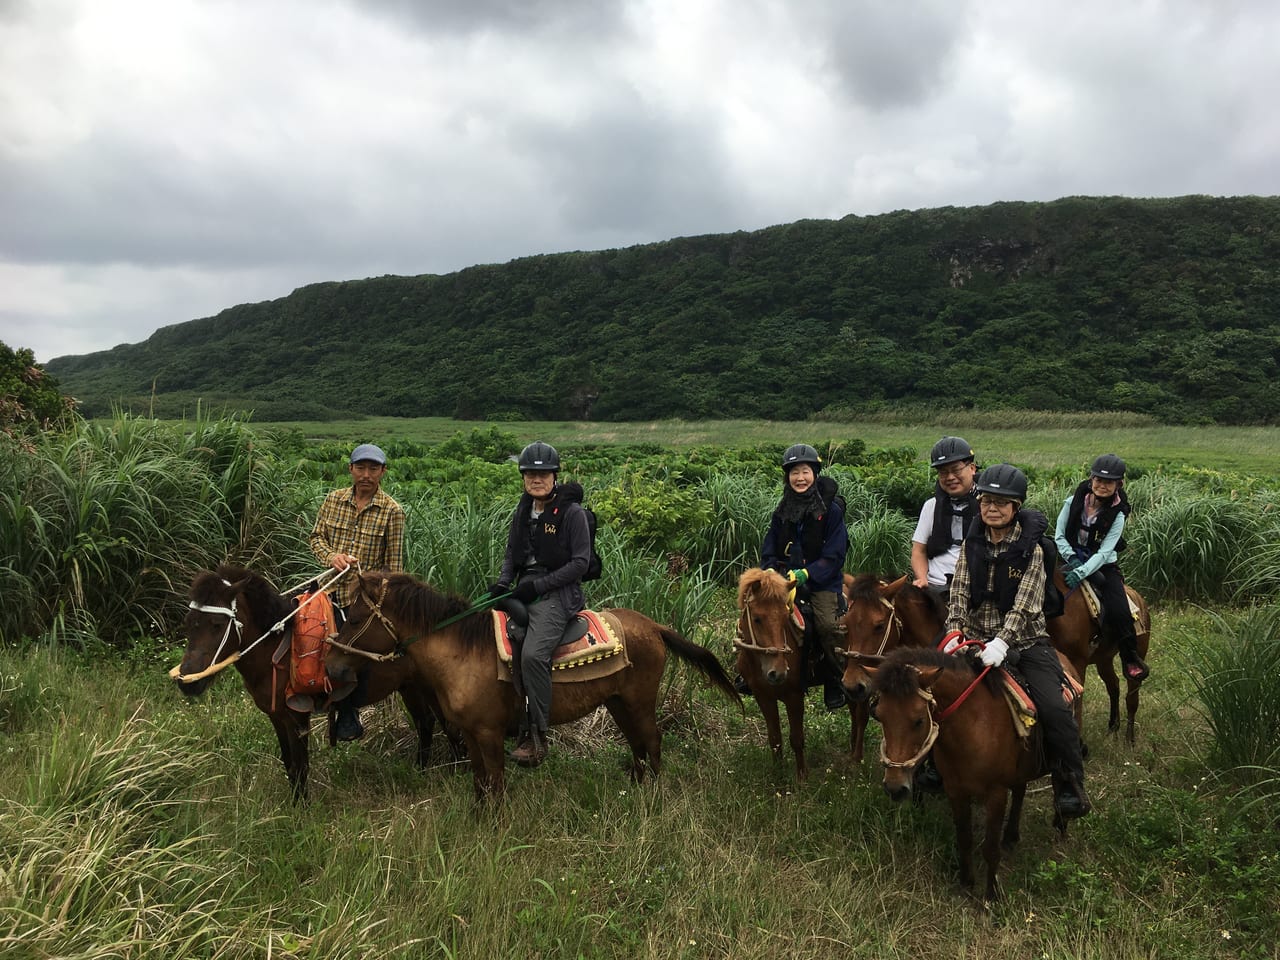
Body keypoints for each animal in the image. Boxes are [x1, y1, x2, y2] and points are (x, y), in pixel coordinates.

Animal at [170, 563, 460, 803]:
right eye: (189, 623)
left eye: (217, 624)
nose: (187, 683)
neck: (277, 650)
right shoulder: (276, 716)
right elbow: (289, 763)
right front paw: (294, 804)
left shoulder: (297, 716)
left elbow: (301, 765)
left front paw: (302, 810)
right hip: (409, 686)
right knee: (425, 722)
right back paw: (421, 770)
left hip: (428, 686)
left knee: (446, 724)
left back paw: (456, 770)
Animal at [335, 570, 747, 803]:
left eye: (353, 617)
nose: (334, 664)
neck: (462, 650)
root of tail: (654, 627)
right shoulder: (469, 733)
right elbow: (480, 783)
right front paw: (479, 820)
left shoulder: (488, 734)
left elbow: (496, 783)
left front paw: (496, 828)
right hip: (617, 702)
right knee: (637, 744)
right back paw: (636, 788)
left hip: (639, 700)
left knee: (653, 741)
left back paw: (654, 798)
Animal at [732, 570, 860, 783]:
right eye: (757, 618)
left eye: (785, 617)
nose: (778, 672)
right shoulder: (763, 696)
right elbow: (775, 739)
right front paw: (778, 776)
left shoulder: (794, 696)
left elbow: (797, 739)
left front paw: (801, 778)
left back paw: (857, 759)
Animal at [860, 647, 1080, 901]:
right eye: (879, 715)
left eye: (919, 720)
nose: (895, 787)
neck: (974, 725)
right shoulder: (955, 790)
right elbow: (964, 838)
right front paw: (966, 883)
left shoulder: (996, 793)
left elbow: (990, 847)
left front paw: (991, 894)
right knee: (1020, 791)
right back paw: (1011, 837)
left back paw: (1064, 818)